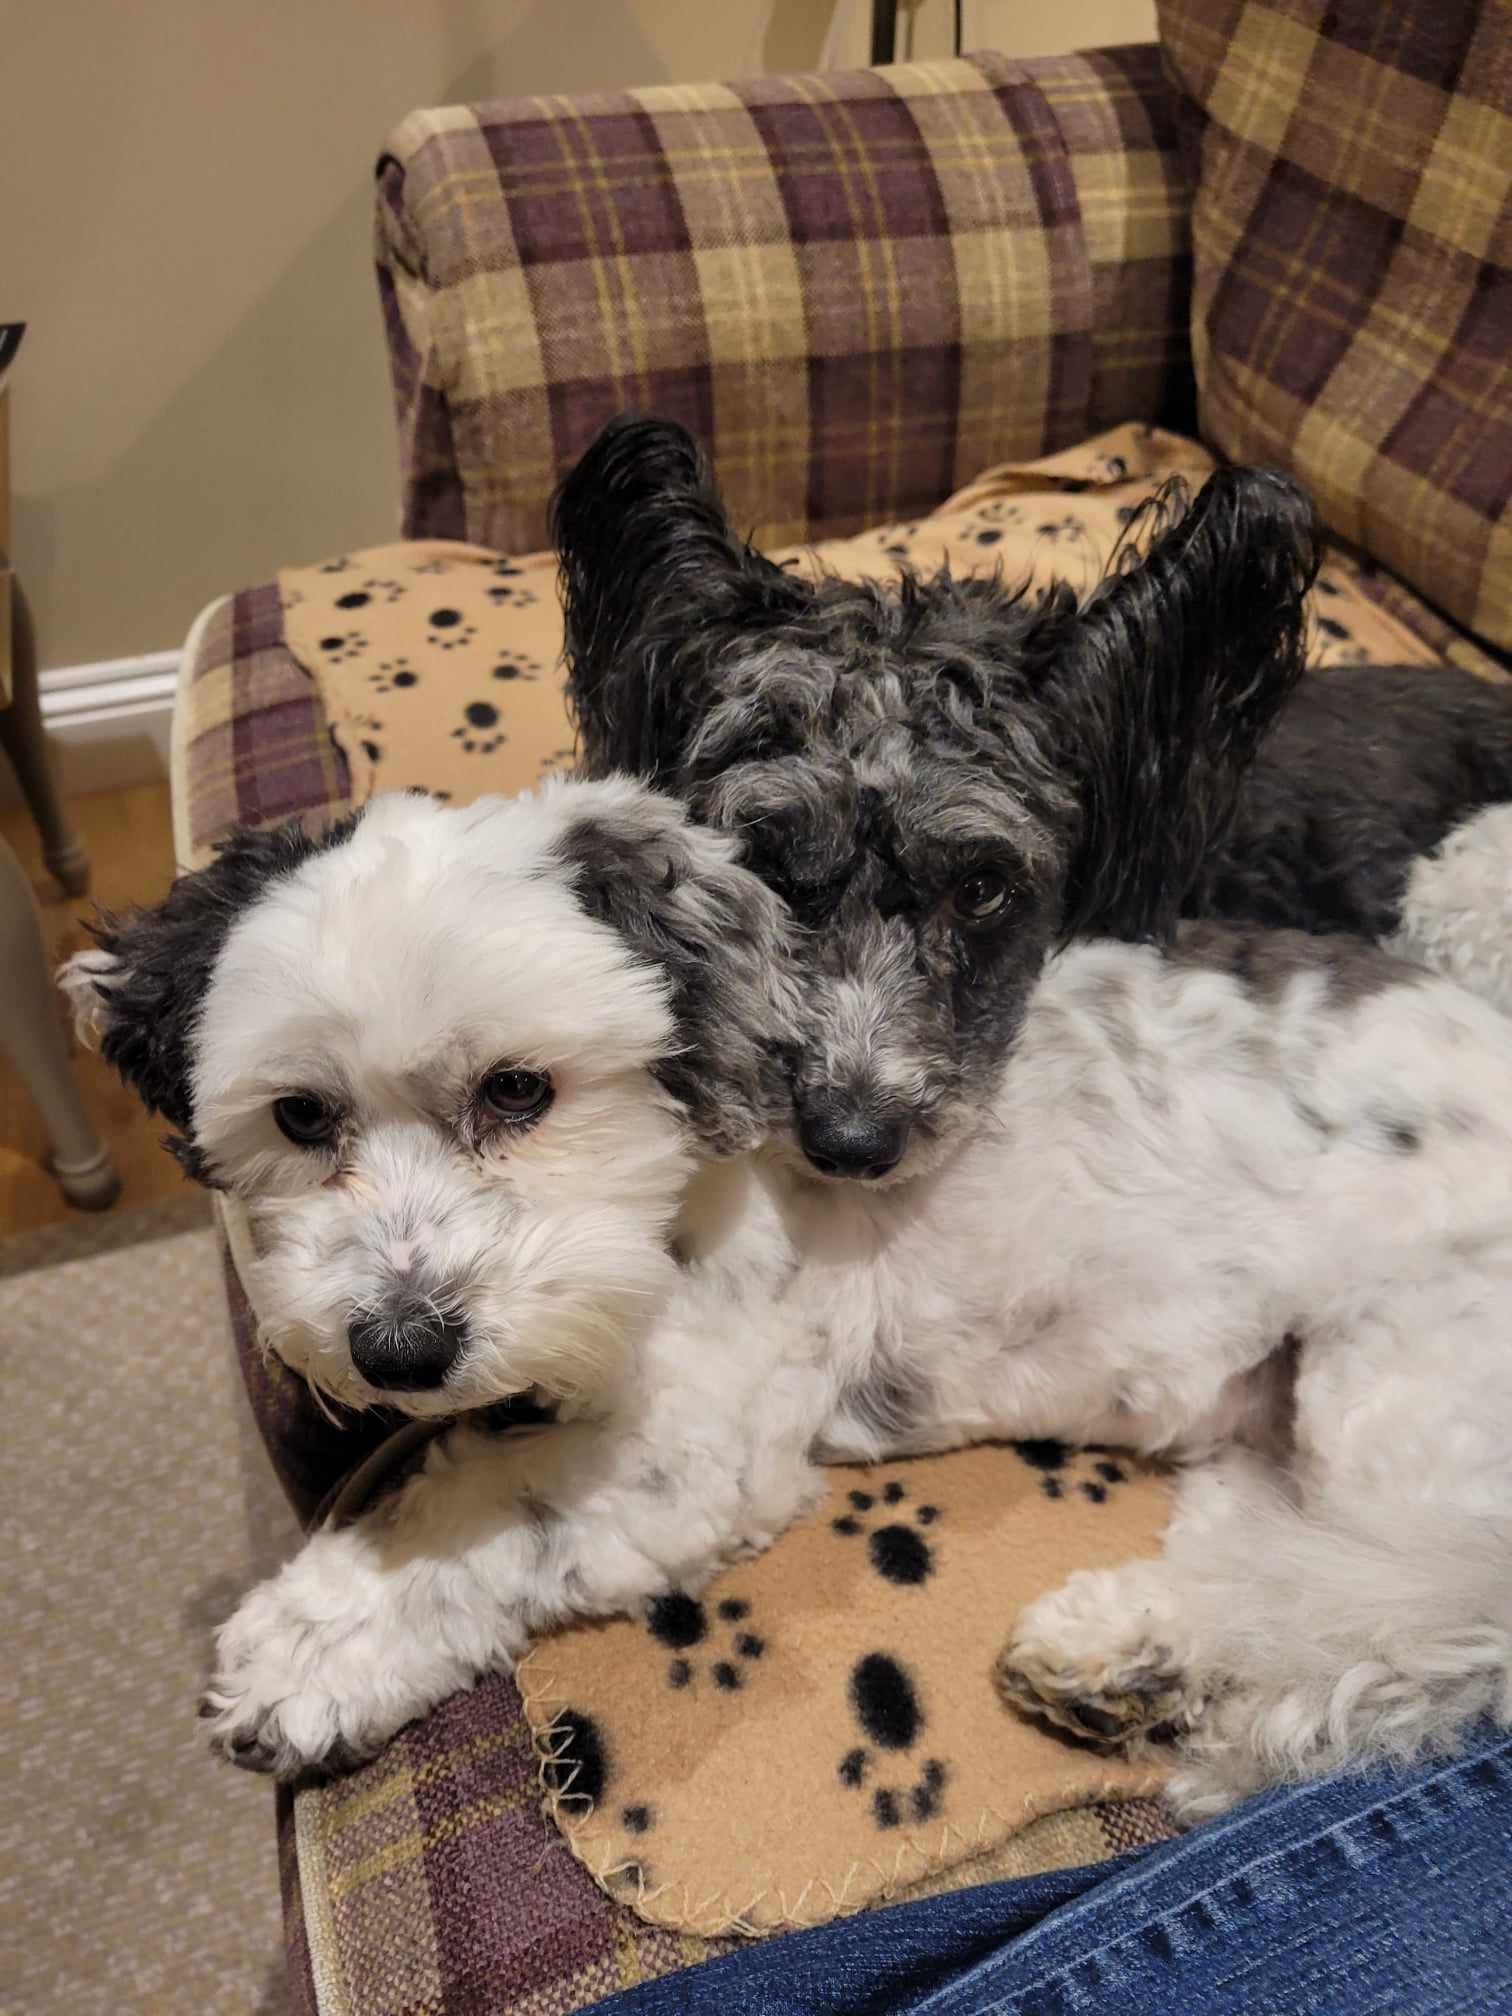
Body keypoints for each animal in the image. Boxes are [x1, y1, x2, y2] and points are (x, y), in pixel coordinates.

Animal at [65, 778, 1512, 1822]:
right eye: (302, 1116)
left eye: (521, 1091)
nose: (399, 1348)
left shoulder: (696, 1443)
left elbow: (482, 1508)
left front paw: (309, 1649)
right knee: (1288, 1563)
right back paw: (1131, 1658)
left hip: (1403, 1379)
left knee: (1436, 1603)